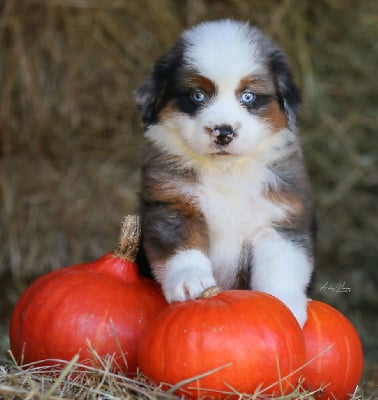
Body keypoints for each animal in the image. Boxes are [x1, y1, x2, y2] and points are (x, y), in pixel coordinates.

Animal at [134, 18, 314, 326]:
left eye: (248, 96)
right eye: (197, 95)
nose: (223, 132)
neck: (226, 170)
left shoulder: (279, 216)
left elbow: (281, 265)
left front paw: (286, 305)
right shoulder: (173, 204)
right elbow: (182, 248)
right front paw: (191, 282)